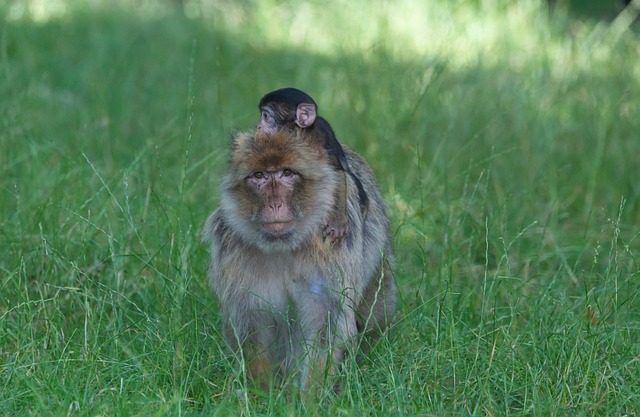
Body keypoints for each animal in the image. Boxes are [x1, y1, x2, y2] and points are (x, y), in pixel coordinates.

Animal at [204, 127, 396, 390]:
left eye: (287, 173)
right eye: (259, 175)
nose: (275, 204)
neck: (285, 246)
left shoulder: (331, 252)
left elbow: (324, 325)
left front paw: (311, 396)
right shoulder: (233, 253)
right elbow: (252, 323)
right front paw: (261, 394)